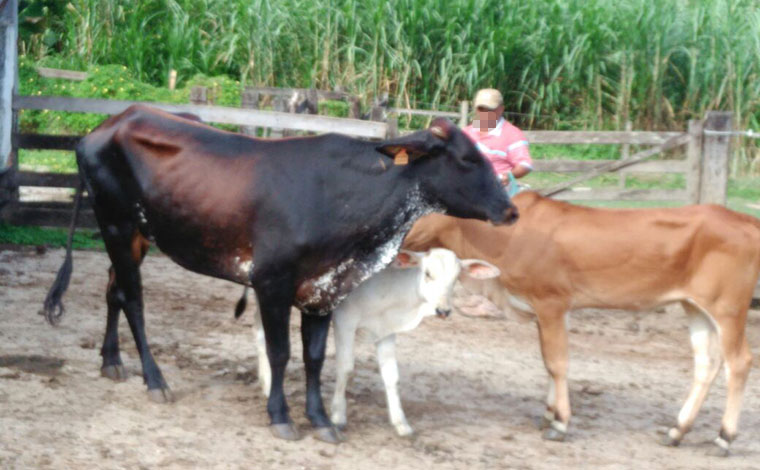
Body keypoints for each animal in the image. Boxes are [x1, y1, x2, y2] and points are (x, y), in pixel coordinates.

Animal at [251, 250, 498, 436]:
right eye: (428, 273)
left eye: (456, 280)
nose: (443, 310)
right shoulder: (344, 321)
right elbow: (346, 368)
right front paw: (338, 416)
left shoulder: (386, 332)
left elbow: (392, 376)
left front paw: (401, 423)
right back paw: (269, 384)